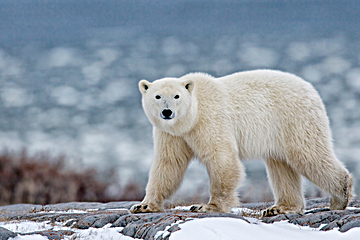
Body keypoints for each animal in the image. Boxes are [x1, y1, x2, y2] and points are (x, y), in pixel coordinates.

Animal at [131, 69, 352, 216]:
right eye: (157, 96)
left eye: (176, 96)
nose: (167, 112)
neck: (192, 115)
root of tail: (311, 89)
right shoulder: (171, 134)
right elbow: (168, 164)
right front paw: (143, 205)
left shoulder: (210, 120)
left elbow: (221, 158)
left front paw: (207, 206)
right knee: (281, 166)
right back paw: (280, 207)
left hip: (295, 119)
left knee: (309, 155)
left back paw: (340, 197)